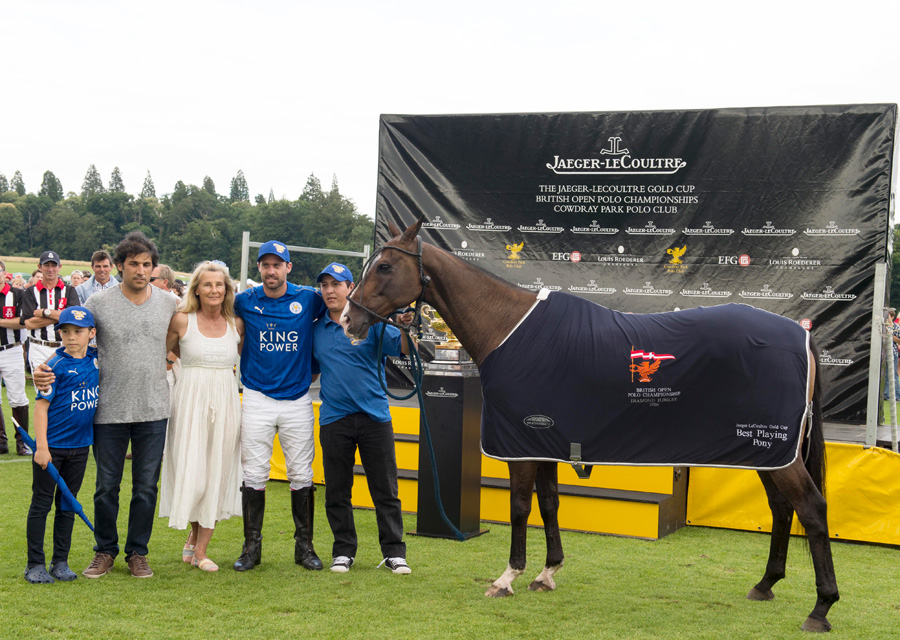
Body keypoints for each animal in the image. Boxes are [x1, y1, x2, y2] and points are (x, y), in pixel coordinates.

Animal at [342, 219, 840, 632]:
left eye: (384, 266)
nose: (348, 318)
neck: (508, 327)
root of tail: (801, 334)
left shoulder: (521, 444)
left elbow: (519, 508)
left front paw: (507, 578)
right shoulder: (542, 441)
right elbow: (549, 505)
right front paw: (547, 573)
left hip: (775, 452)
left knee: (812, 509)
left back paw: (820, 608)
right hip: (766, 450)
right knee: (782, 510)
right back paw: (766, 584)